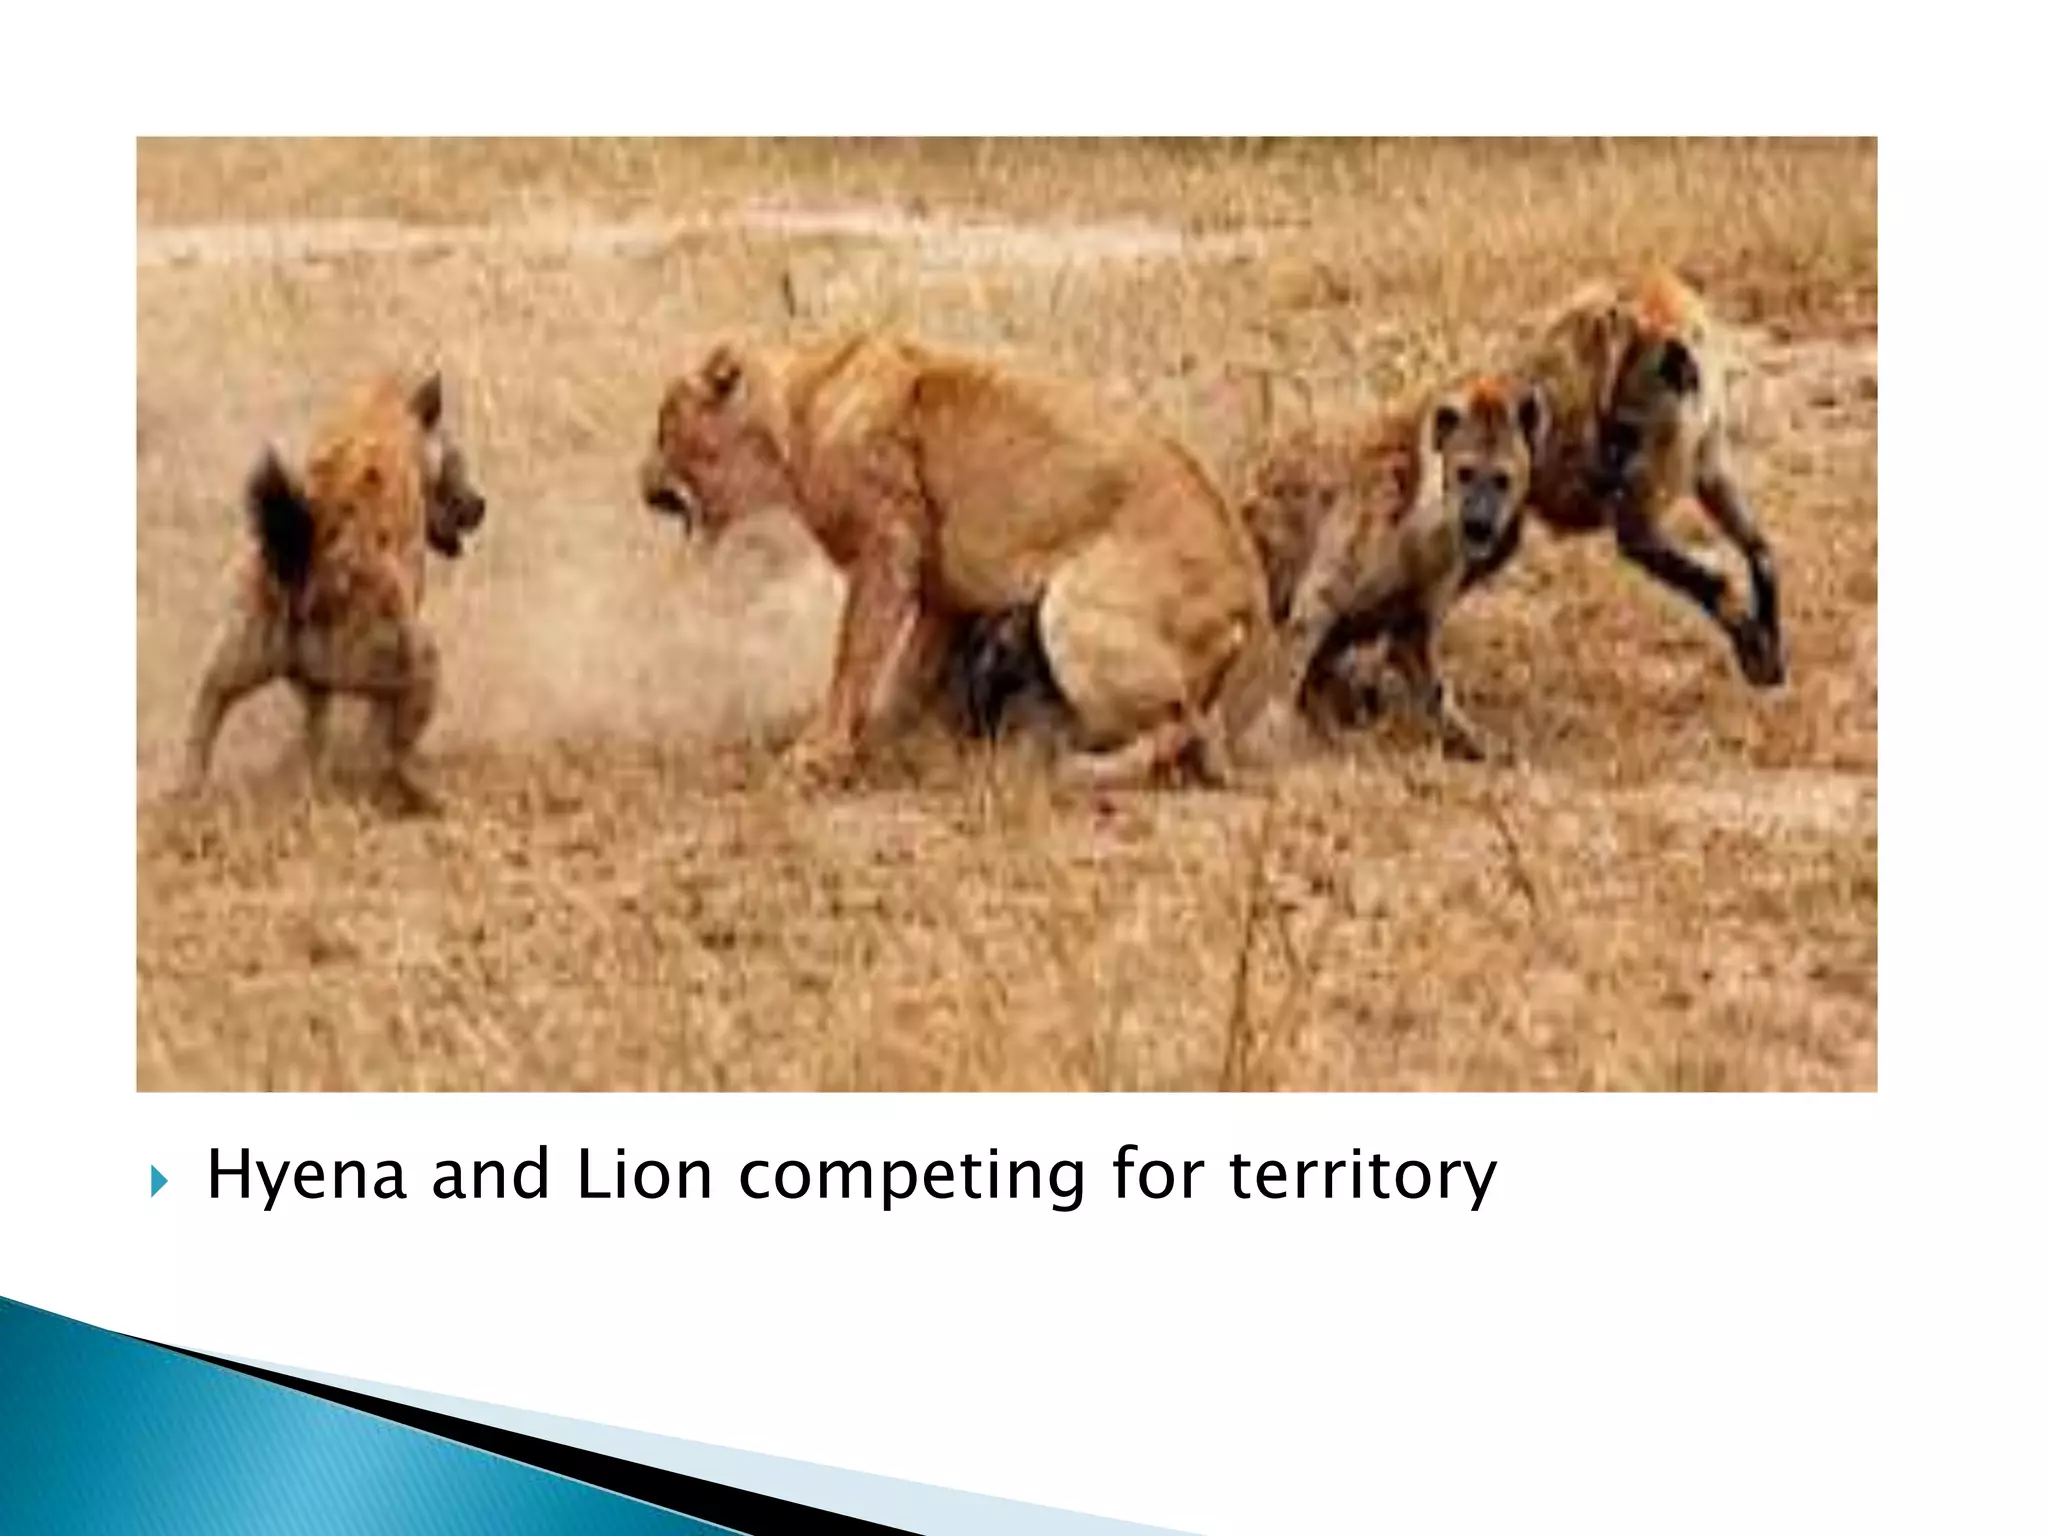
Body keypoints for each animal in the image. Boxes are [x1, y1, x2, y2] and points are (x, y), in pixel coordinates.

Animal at [180, 371, 487, 813]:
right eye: (457, 462)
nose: (481, 505)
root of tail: (302, 563)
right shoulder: (405, 598)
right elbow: (378, 726)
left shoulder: (315, 676)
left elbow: (317, 727)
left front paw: (316, 783)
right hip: (408, 653)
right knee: (395, 743)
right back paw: (427, 796)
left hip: (248, 633)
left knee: (211, 695)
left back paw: (188, 792)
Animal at [638, 334, 1274, 787]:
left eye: (663, 428)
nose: (639, 482)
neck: (797, 410)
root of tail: (1251, 592)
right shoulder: (938, 588)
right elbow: (906, 672)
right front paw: (886, 740)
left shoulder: (886, 546)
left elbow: (853, 657)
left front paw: (816, 753)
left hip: (1077, 609)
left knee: (1183, 724)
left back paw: (1079, 768)